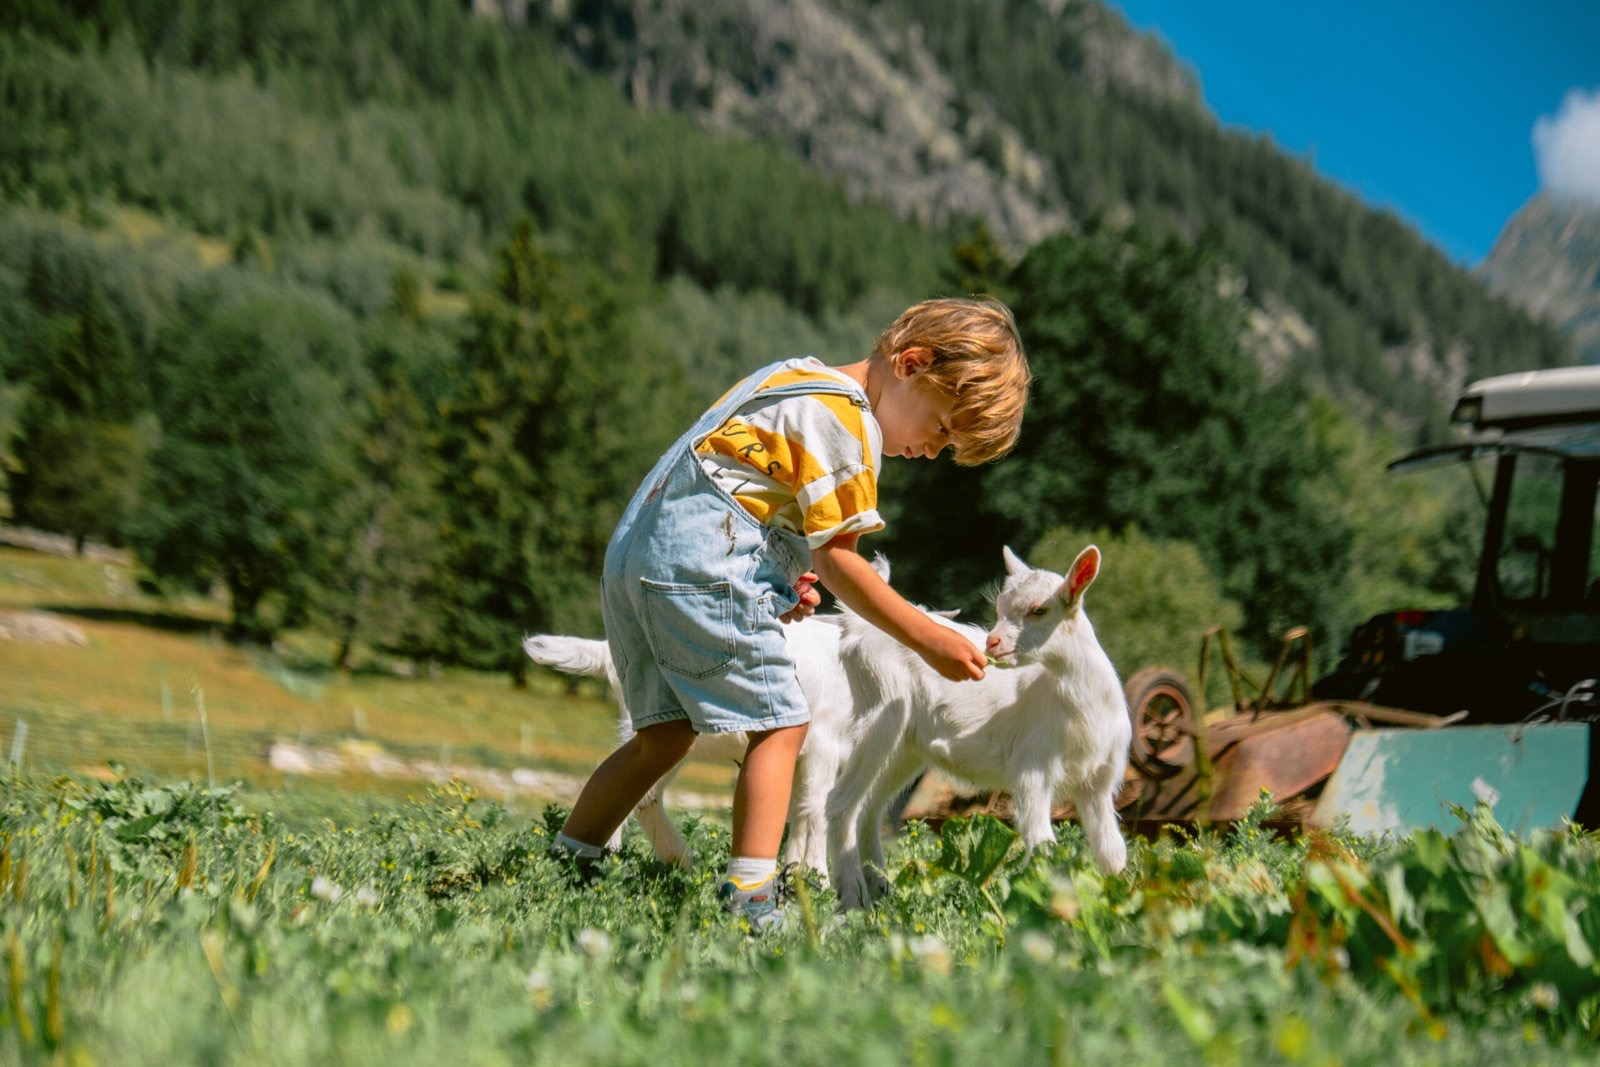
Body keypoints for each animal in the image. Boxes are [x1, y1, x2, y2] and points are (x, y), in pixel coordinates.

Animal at [827, 544, 1130, 910]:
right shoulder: (1032, 766)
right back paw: (853, 901)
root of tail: (857, 627)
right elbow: (1043, 845)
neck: (1081, 708)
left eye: (1039, 609)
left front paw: (1122, 905)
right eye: (999, 607)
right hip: (879, 711)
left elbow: (1112, 852)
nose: (992, 643)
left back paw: (881, 892)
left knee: (870, 807)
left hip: (906, 744)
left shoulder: (1098, 781)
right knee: (841, 803)